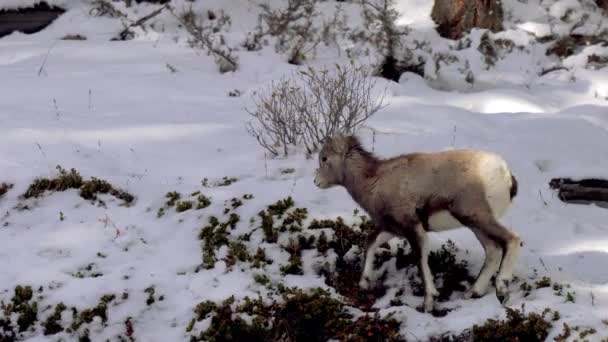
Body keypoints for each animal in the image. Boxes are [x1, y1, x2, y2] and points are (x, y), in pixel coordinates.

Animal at [316, 134, 520, 312]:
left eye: (324, 158)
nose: (316, 181)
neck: (374, 182)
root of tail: (505, 174)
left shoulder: (413, 230)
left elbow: (421, 262)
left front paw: (428, 303)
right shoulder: (392, 229)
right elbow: (370, 243)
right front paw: (364, 283)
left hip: (478, 218)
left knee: (512, 239)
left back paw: (501, 289)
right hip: (476, 225)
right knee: (493, 250)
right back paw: (472, 292)